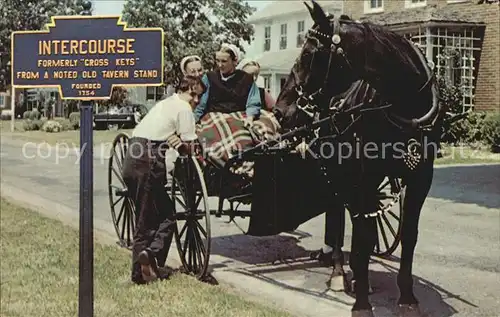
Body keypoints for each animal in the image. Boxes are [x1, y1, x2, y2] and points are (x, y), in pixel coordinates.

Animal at [274, 1, 446, 314]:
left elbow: (409, 235)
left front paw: (406, 295)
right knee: (338, 215)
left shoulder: (420, 178)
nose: (280, 111)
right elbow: (363, 238)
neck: (404, 102)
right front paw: (362, 302)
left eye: (308, 53)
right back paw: (339, 272)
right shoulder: (364, 176)